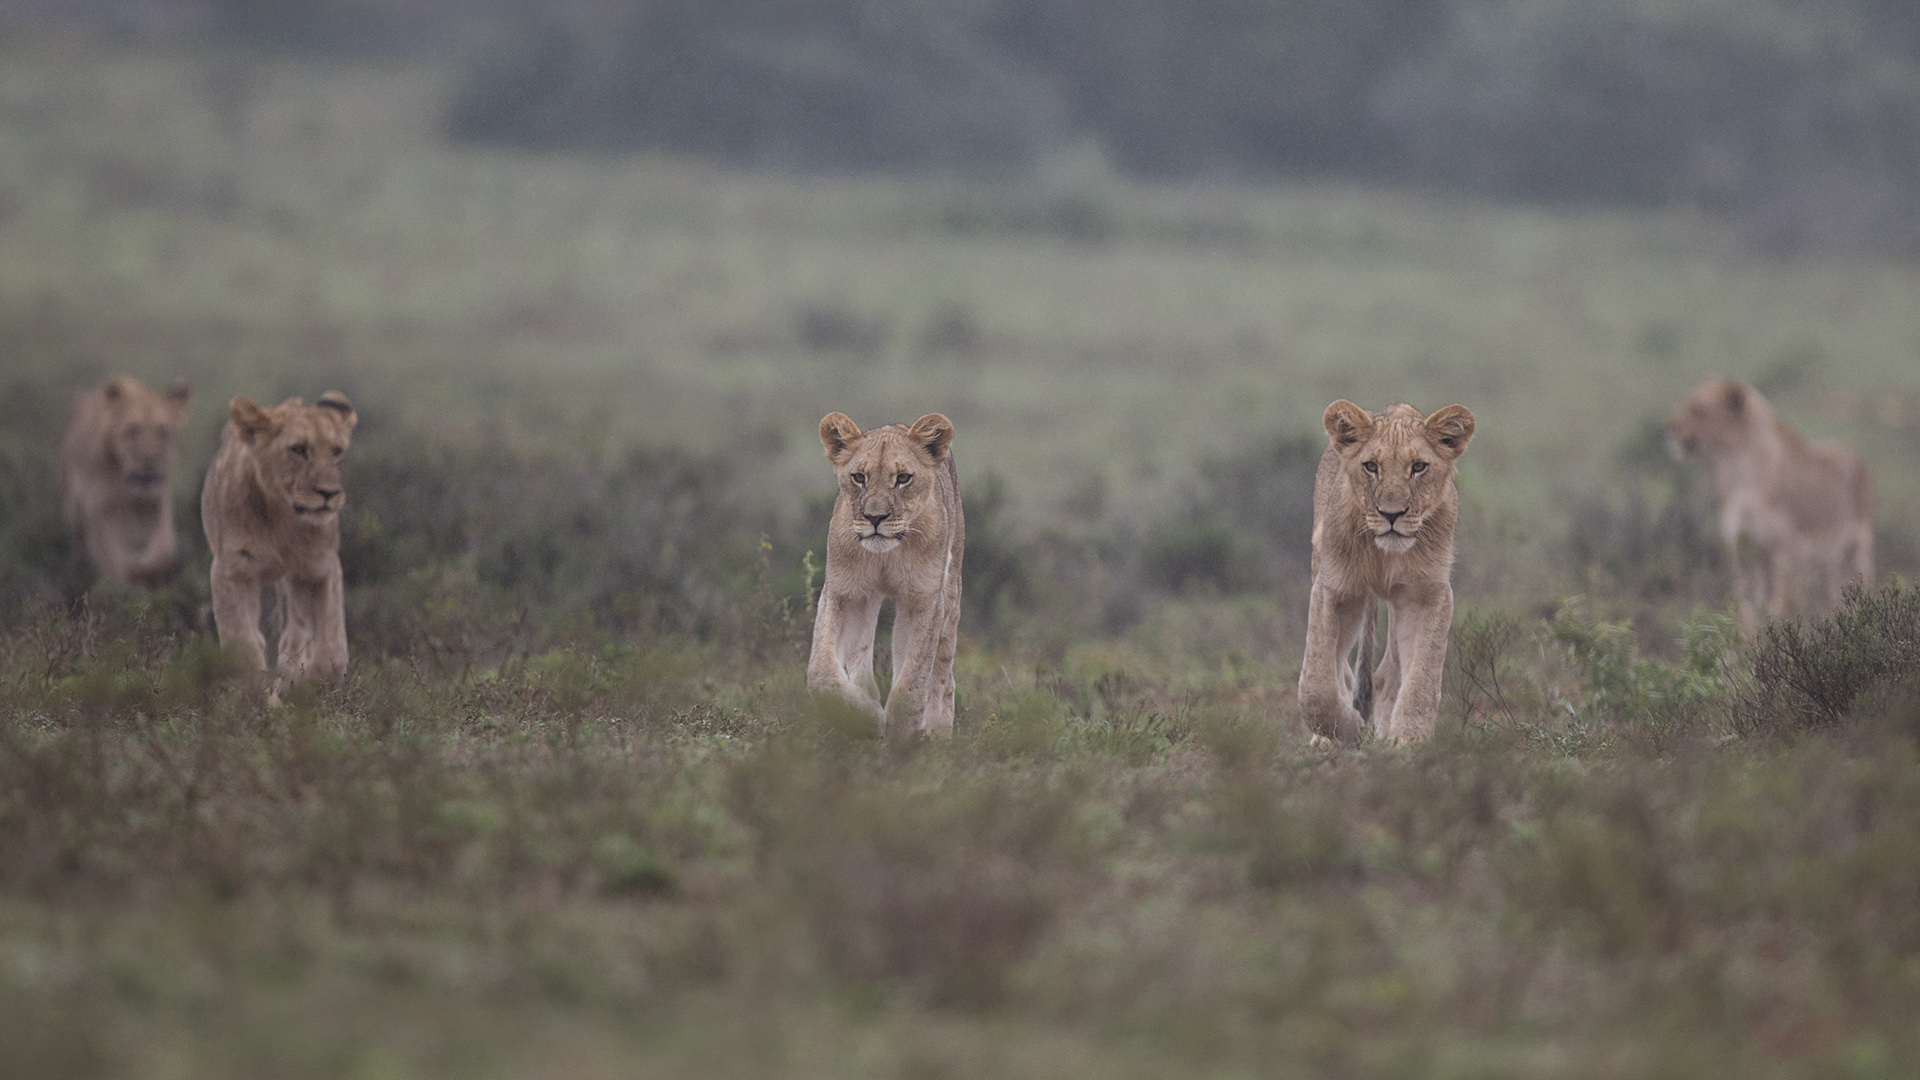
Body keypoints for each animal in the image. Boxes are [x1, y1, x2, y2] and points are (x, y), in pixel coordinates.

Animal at [61, 374, 192, 584]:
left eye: (163, 431)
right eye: (132, 430)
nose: (150, 460)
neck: (125, 482)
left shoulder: (156, 502)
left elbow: (164, 548)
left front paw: (150, 570)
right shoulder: (100, 508)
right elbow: (115, 558)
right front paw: (131, 574)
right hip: (75, 510)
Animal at [204, 390, 360, 691]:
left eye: (337, 451)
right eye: (298, 449)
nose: (329, 493)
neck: (283, 518)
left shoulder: (320, 568)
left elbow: (332, 652)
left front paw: (307, 684)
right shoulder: (231, 570)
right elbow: (242, 646)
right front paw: (256, 694)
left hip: (293, 583)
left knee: (293, 636)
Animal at [806, 407, 967, 734]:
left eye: (903, 478)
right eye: (859, 477)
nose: (875, 517)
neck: (886, 556)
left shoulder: (923, 600)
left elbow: (913, 678)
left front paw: (899, 732)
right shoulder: (844, 593)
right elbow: (821, 674)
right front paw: (866, 716)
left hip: (951, 594)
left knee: (943, 675)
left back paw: (938, 732)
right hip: (868, 600)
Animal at [1297, 399, 1474, 745]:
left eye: (1418, 467)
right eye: (1371, 466)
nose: (1392, 514)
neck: (1384, 555)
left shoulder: (1427, 594)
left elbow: (1422, 679)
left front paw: (1409, 740)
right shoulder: (1335, 588)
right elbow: (1316, 685)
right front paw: (1346, 727)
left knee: (1386, 675)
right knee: (1341, 670)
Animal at [1666, 376, 1873, 630]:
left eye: (1699, 410)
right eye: (1687, 402)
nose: (1668, 429)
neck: (1740, 475)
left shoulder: (1788, 554)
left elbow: (1779, 610)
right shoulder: (1743, 554)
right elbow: (1747, 612)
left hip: (1859, 553)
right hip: (1829, 566)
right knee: (1833, 603)